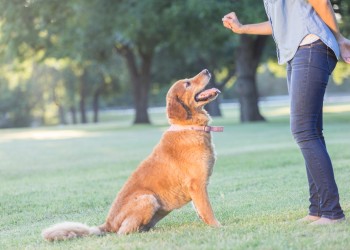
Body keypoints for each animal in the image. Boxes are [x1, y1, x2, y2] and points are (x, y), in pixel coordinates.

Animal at [41, 69, 221, 241]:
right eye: (187, 83)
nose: (206, 70)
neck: (188, 127)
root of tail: (107, 224)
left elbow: (200, 211)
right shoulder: (197, 184)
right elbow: (208, 210)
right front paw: (218, 227)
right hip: (148, 199)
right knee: (123, 232)